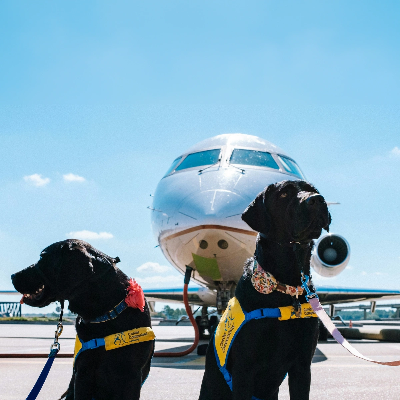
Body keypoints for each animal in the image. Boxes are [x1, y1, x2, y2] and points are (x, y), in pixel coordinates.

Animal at [198, 180, 330, 400]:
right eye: (284, 194)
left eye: (313, 190)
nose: (317, 200)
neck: (286, 286)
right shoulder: (244, 370)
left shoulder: (303, 366)